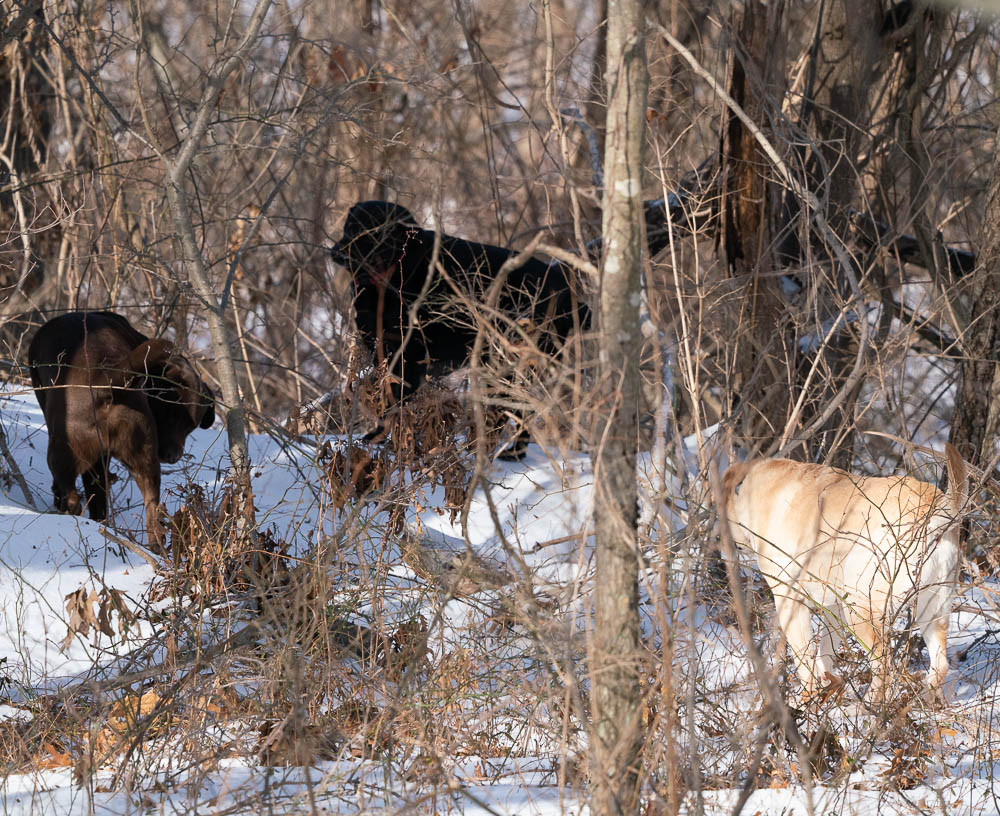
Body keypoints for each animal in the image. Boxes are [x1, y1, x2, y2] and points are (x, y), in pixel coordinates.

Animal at [29, 311, 215, 549]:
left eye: (190, 426)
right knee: (152, 512)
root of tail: (105, 383)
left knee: (70, 494)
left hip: (60, 452)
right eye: (168, 415)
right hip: (144, 460)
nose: (172, 456)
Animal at [330, 201, 590, 455]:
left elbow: (395, 404)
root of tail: (567, 291)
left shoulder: (405, 358)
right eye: (349, 227)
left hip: (512, 366)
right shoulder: (383, 354)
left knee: (517, 409)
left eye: (371, 230)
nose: (336, 252)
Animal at [721, 444, 967, 702]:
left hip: (863, 611)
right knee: (940, 664)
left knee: (884, 668)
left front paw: (807, 699)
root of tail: (932, 510)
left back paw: (866, 706)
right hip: (932, 608)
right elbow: (825, 652)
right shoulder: (834, 606)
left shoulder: (790, 599)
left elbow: (805, 658)